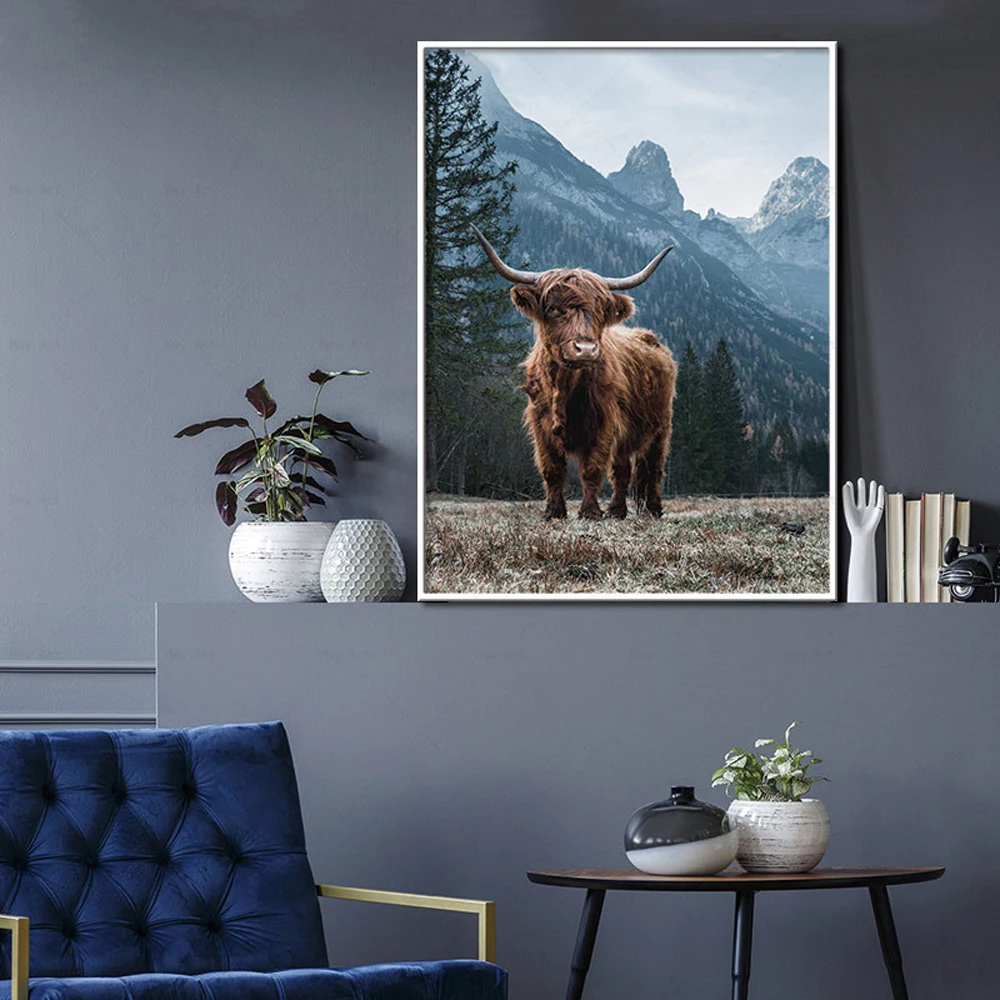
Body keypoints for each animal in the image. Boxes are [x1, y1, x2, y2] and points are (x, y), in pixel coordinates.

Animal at [471, 224, 676, 521]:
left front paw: (589, 512)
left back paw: (653, 509)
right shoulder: (540, 425)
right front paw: (553, 512)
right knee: (623, 470)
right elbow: (552, 470)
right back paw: (617, 510)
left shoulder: (604, 423)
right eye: (552, 308)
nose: (586, 349)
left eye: (600, 310)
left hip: (661, 426)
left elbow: (592, 469)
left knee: (654, 468)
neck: (564, 387)